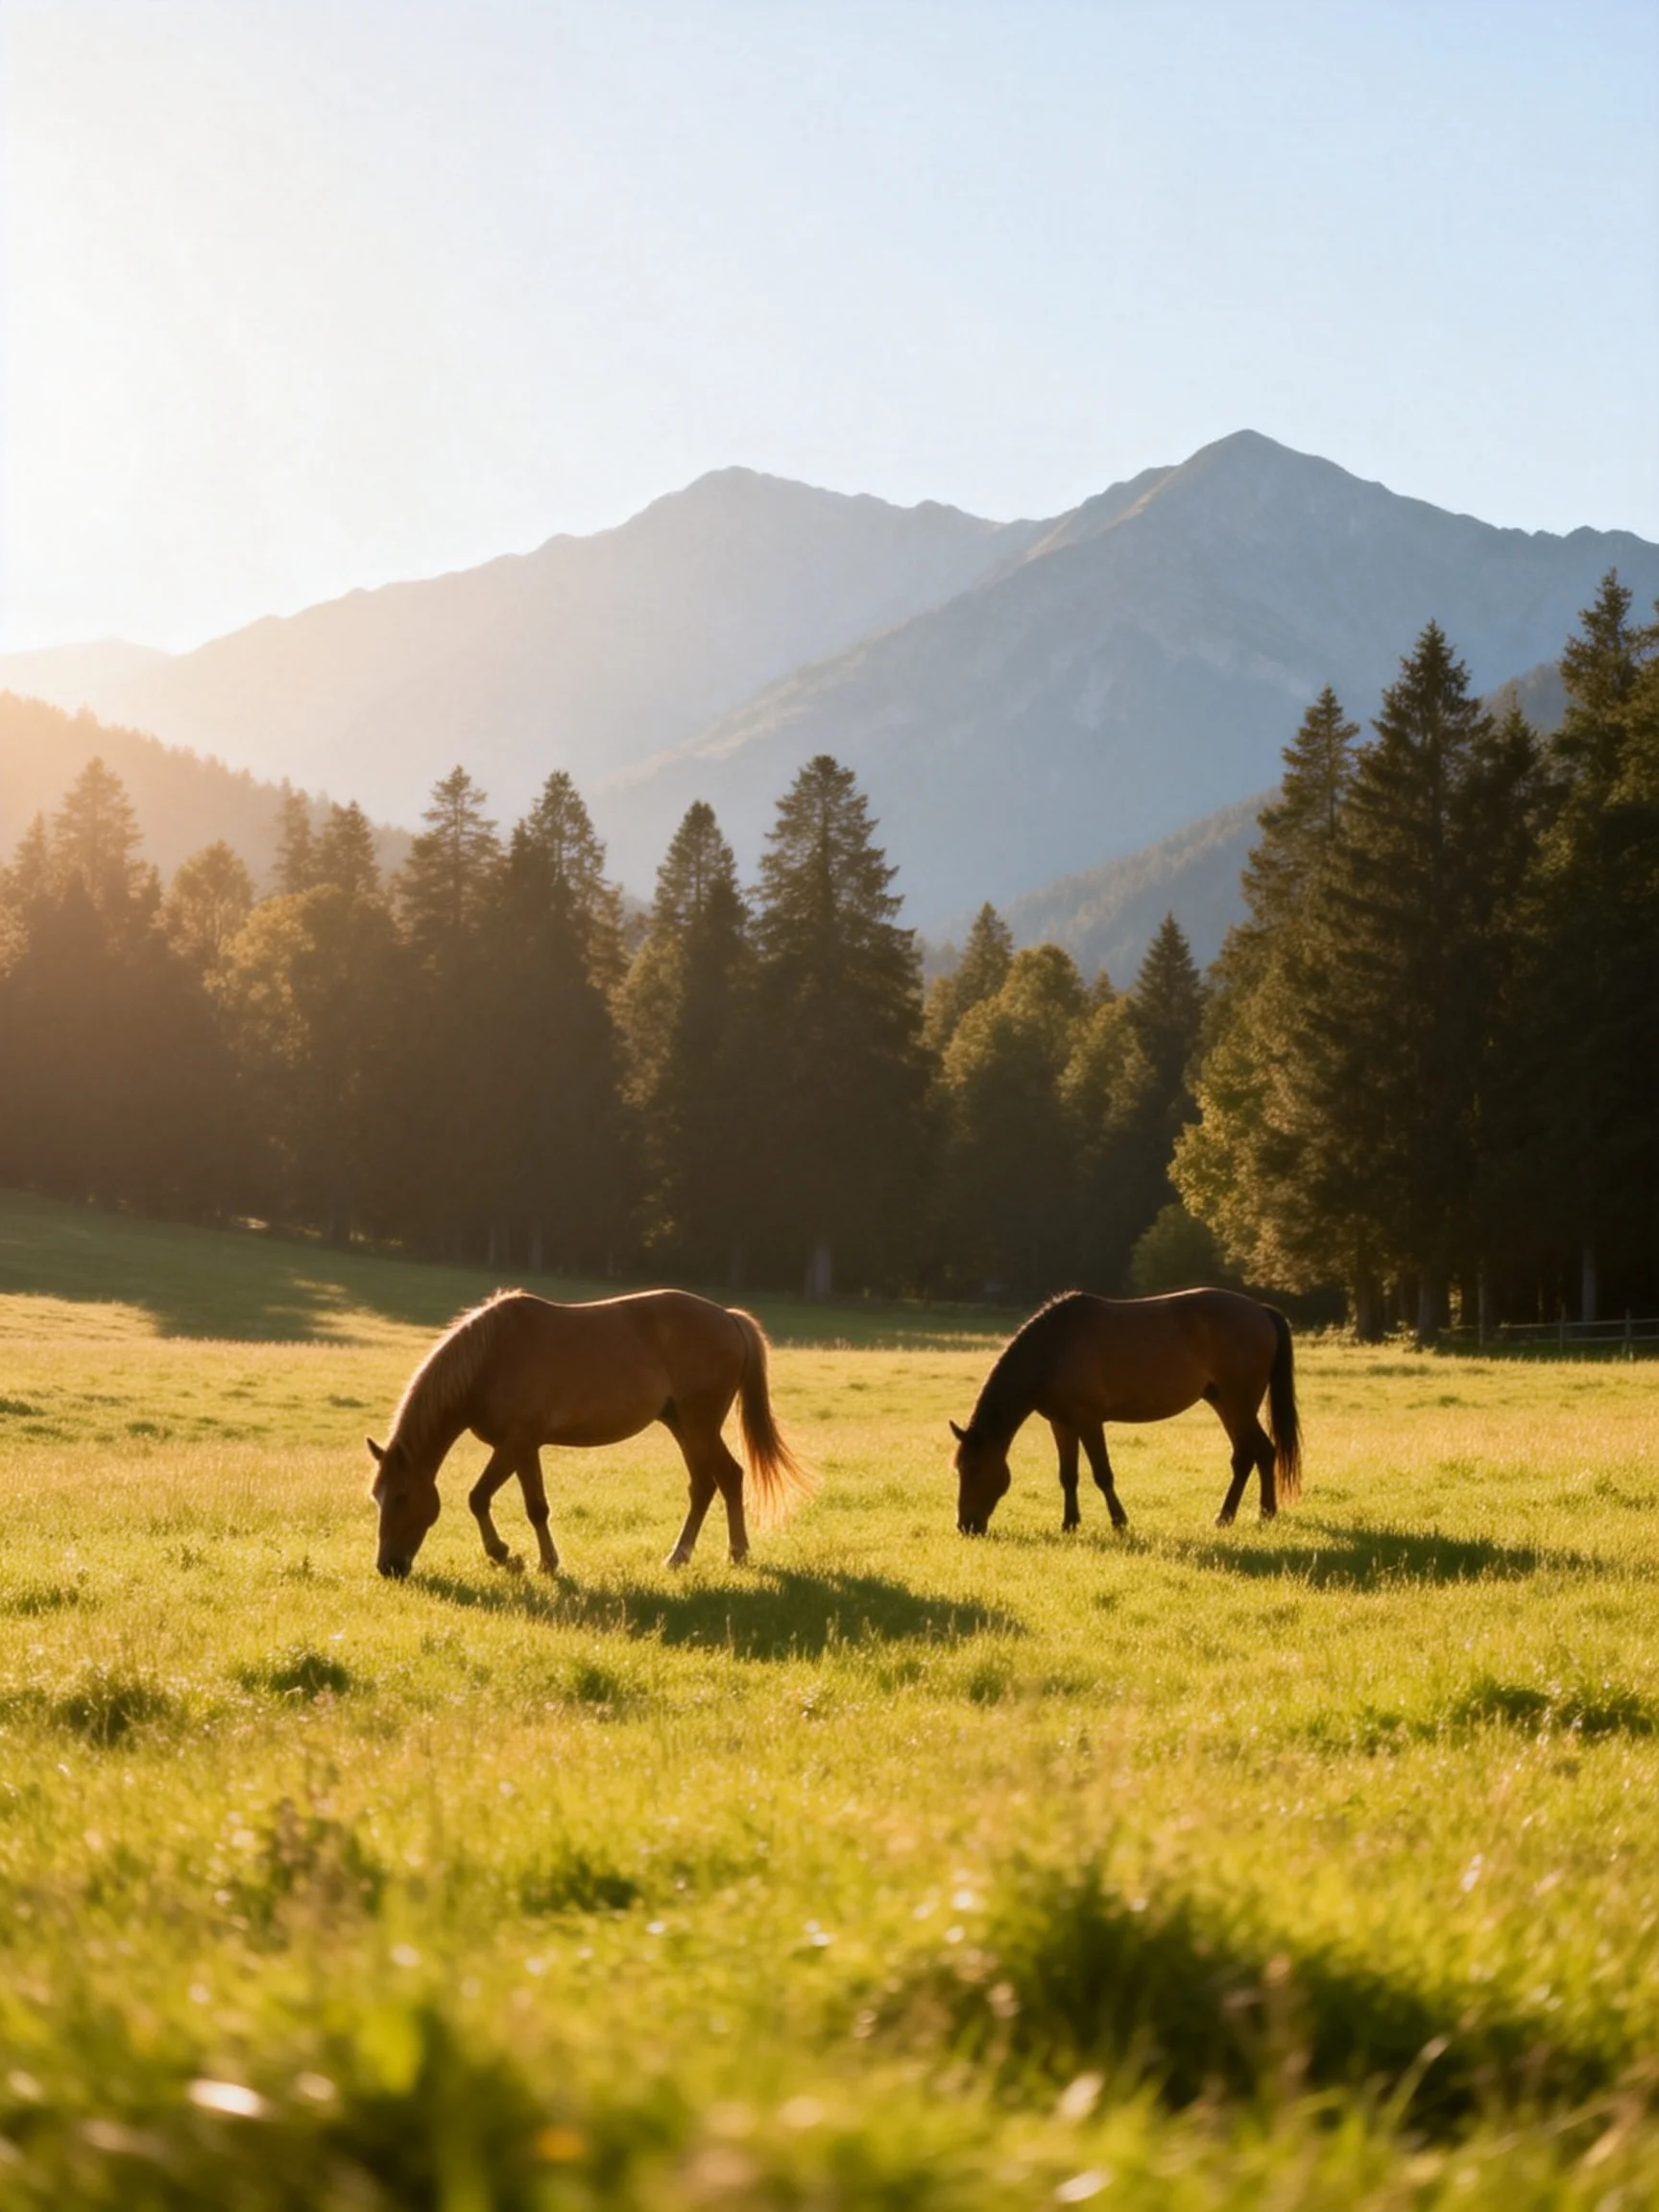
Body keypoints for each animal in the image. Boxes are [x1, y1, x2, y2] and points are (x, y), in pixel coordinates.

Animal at [367, 1289, 812, 1579]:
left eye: (402, 1496)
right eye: (377, 1497)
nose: (388, 1567)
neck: (490, 1359)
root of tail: (729, 1316)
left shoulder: (514, 1445)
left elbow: (478, 1498)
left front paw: (505, 1555)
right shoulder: (523, 1448)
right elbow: (536, 1507)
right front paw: (545, 1562)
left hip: (700, 1425)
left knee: (730, 1476)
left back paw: (736, 1553)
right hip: (682, 1426)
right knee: (704, 1485)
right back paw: (679, 1556)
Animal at [950, 1287, 1300, 1536]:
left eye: (975, 1469)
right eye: (960, 1469)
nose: (966, 1525)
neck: (1053, 1350)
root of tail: (1261, 1310)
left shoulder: (1089, 1421)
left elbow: (1102, 1474)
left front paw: (1119, 1521)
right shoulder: (1062, 1424)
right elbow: (1068, 1476)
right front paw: (1069, 1524)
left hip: (1240, 1404)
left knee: (1262, 1452)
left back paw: (1264, 1514)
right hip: (1224, 1403)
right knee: (1246, 1456)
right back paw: (1227, 1516)